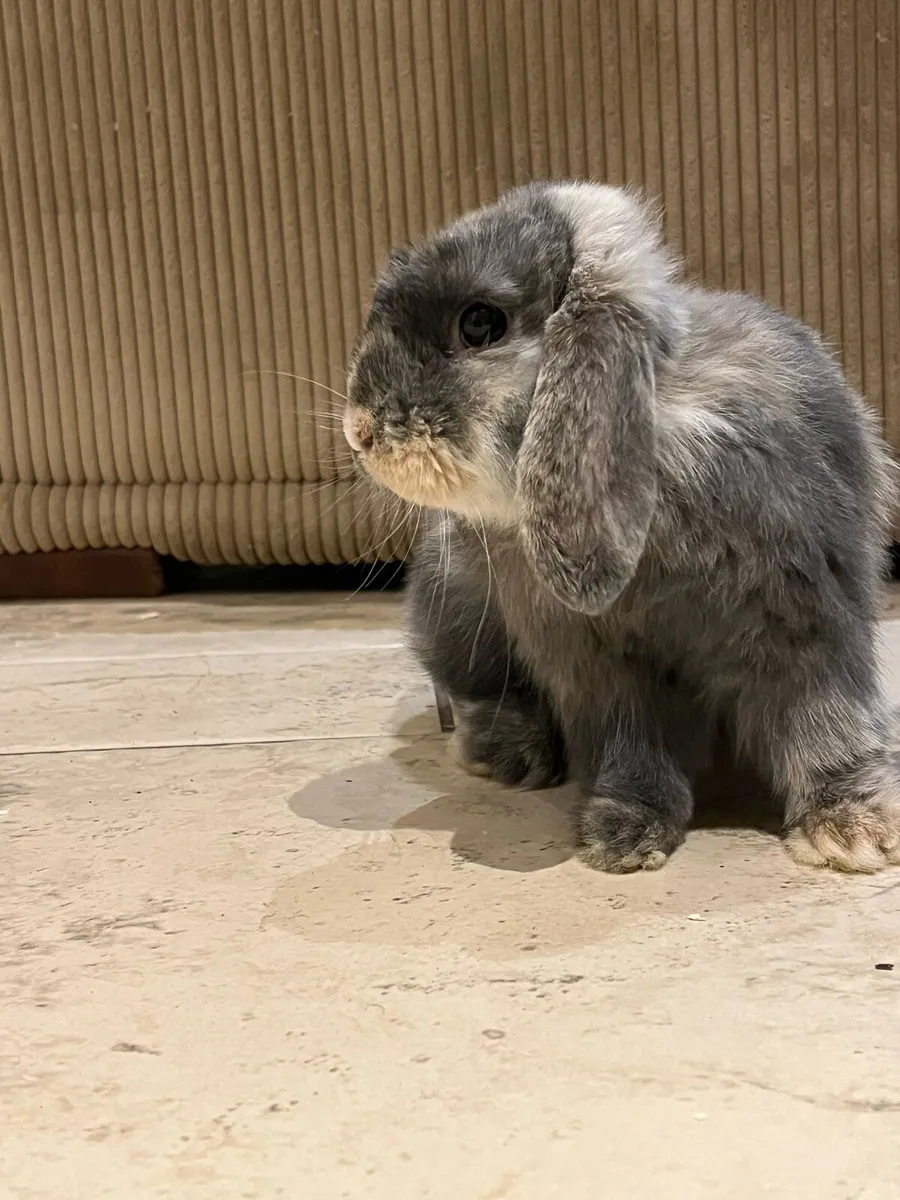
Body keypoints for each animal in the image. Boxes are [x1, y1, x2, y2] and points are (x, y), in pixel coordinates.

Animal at [343, 180, 900, 874]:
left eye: (479, 324)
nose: (359, 431)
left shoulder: (809, 620)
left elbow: (826, 720)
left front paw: (852, 830)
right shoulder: (596, 665)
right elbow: (630, 742)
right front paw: (624, 833)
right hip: (458, 606)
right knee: (478, 688)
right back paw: (510, 755)